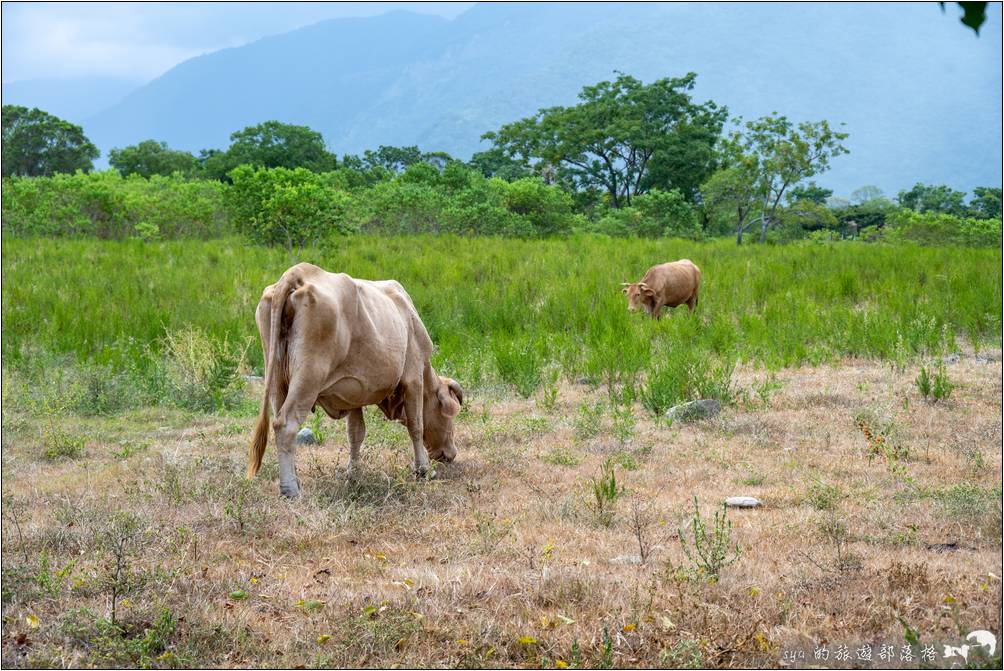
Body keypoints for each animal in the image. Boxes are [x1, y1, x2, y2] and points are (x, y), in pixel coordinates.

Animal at [246, 263, 461, 498]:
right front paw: (422, 470)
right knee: (285, 425)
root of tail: (298, 273)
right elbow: (416, 425)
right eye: (449, 417)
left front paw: (354, 474)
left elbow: (356, 433)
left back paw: (296, 480)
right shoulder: (413, 379)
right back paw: (290, 489)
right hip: (308, 376)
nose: (451, 453)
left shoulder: (352, 392)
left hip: (276, 378)